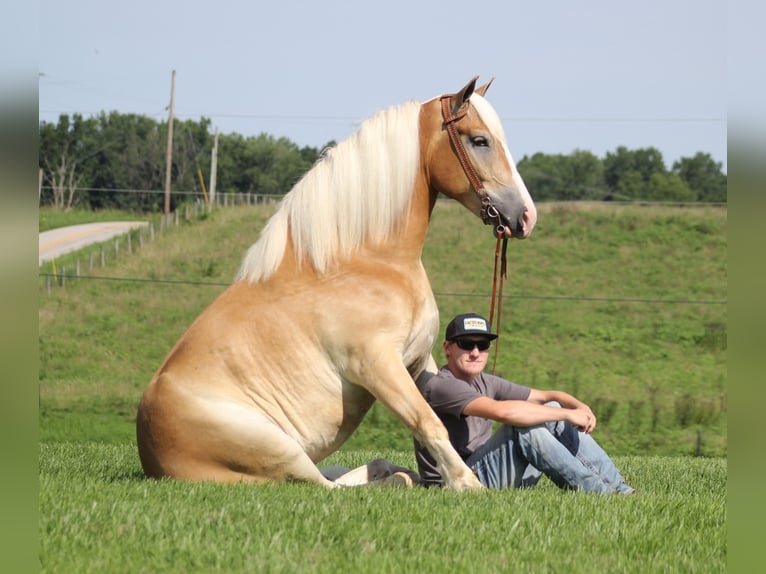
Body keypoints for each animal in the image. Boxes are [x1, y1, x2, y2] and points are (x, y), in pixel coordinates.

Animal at [135, 75, 536, 490]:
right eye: (479, 140)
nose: (526, 216)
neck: (362, 260)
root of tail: (149, 452)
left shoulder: (417, 359)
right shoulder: (377, 365)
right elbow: (426, 421)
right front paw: (466, 483)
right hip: (279, 450)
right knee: (327, 485)